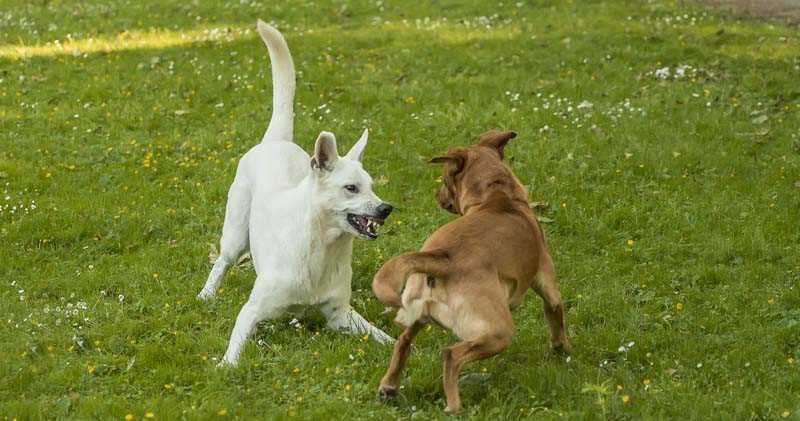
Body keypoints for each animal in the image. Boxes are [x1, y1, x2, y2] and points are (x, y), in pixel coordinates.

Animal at [198, 21, 396, 366]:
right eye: (351, 187)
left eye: (372, 186)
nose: (386, 208)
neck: (323, 249)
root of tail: (276, 139)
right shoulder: (251, 311)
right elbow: (235, 346)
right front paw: (225, 366)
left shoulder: (341, 315)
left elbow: (381, 336)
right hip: (234, 233)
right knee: (222, 261)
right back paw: (207, 293)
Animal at [370, 130, 564, 412]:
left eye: (444, 179)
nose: (436, 196)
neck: (497, 194)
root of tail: (443, 259)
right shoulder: (547, 281)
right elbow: (556, 316)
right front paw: (562, 351)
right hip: (498, 332)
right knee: (451, 355)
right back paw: (453, 407)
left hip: (416, 313)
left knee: (403, 342)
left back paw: (389, 386)